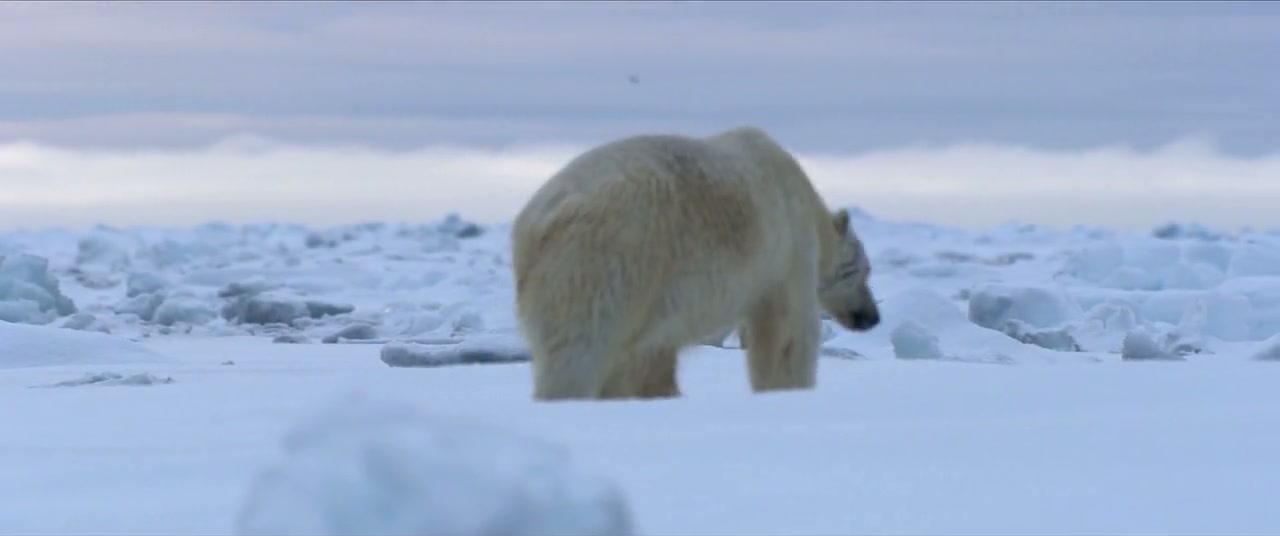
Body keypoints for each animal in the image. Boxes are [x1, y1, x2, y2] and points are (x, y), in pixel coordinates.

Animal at [510, 126, 879, 401]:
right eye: (862, 271)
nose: (872, 316)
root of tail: (539, 223)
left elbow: (649, 356)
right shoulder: (788, 247)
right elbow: (787, 329)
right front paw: (788, 389)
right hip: (607, 262)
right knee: (578, 351)